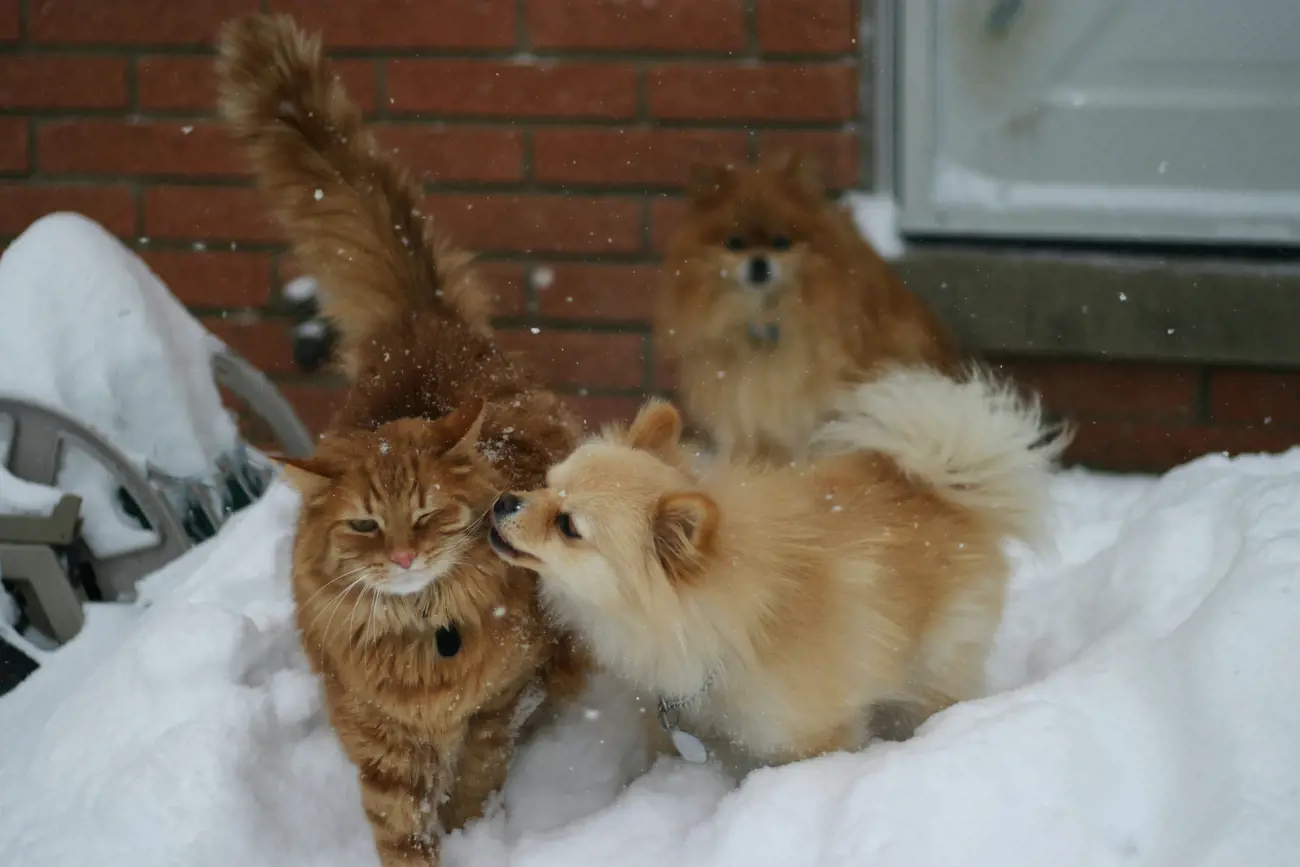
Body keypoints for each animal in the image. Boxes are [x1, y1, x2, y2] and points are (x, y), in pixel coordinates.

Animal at [217, 15, 585, 867]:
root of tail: (420, 322)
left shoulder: (501, 701)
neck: (425, 639)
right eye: (363, 524)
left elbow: (477, 776)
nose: (405, 557)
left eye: (426, 513)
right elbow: (403, 828)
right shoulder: (378, 740)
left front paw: (474, 828)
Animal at [488, 366, 1066, 774]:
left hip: (936, 670)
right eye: (546, 483)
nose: (502, 501)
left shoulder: (813, 737)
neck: (723, 621)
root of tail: (943, 487)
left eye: (568, 526)